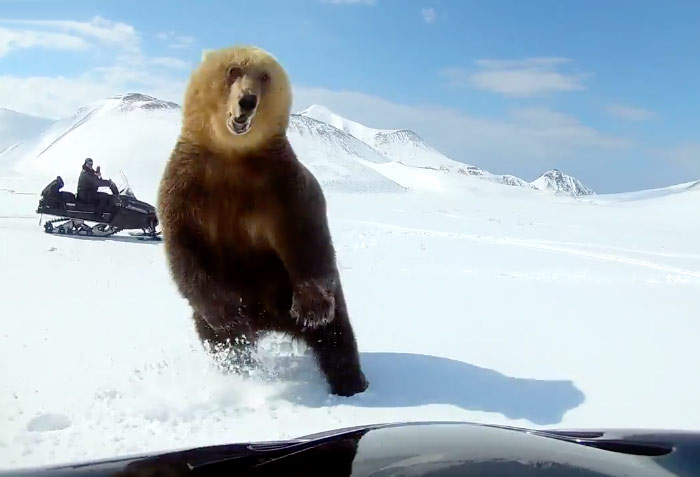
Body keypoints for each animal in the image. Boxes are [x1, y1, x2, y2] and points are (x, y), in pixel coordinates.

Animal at [157, 44, 370, 396]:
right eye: (233, 70)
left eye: (265, 76)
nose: (247, 100)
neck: (233, 156)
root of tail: (269, 322)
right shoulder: (187, 183)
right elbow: (184, 244)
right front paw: (225, 312)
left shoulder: (282, 185)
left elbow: (308, 237)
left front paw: (311, 309)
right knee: (221, 339)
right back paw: (239, 363)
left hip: (284, 287)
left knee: (336, 334)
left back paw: (352, 382)